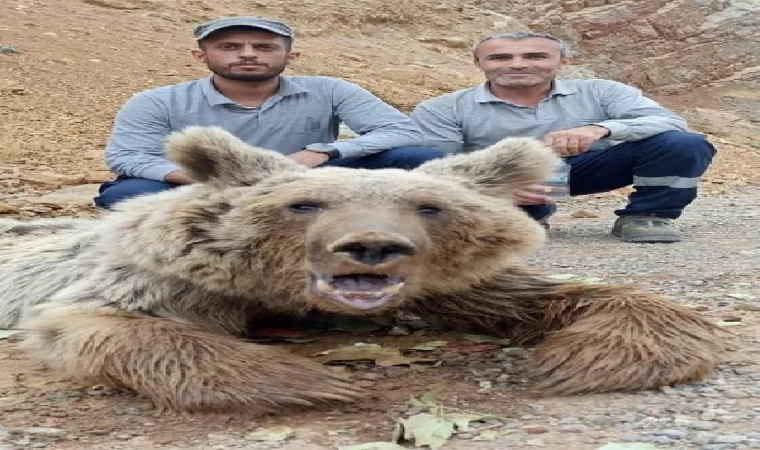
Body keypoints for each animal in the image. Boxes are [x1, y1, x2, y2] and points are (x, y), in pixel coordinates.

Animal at [0, 125, 724, 412]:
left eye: (428, 206)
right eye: (304, 203)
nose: (371, 246)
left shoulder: (437, 287)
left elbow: (549, 295)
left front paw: (581, 357)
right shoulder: (154, 281)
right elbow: (106, 324)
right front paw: (312, 381)